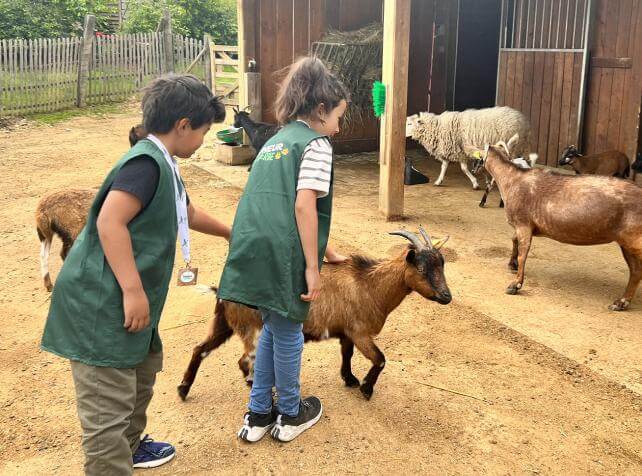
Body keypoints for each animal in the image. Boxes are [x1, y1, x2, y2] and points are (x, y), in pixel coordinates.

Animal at [36, 125, 147, 291]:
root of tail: (42, 211)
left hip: (51, 233)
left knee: (46, 254)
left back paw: (49, 284)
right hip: (71, 228)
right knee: (65, 253)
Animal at [177, 228, 452, 401]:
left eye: (442, 264)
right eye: (421, 268)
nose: (446, 296)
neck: (370, 285)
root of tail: (222, 290)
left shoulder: (346, 332)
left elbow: (347, 355)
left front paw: (350, 380)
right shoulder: (360, 332)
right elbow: (380, 359)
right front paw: (366, 389)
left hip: (223, 323)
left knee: (200, 349)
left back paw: (183, 389)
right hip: (250, 329)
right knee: (244, 360)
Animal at [469, 135, 642, 311]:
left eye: (478, 159)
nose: (473, 171)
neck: (511, 180)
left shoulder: (523, 224)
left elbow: (523, 253)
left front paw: (515, 285)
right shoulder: (522, 226)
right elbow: (514, 240)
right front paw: (512, 264)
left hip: (634, 239)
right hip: (626, 242)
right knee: (636, 271)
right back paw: (621, 302)